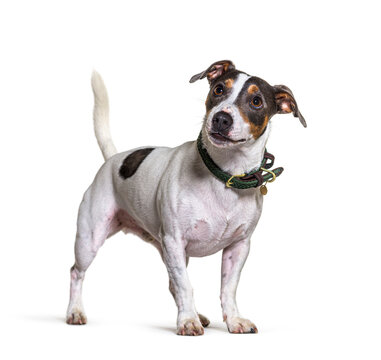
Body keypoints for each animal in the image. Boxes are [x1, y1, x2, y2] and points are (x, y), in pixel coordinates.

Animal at [64, 59, 302, 334]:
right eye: (219, 89)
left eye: (256, 101)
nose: (221, 118)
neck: (223, 176)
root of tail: (114, 159)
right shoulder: (174, 242)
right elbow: (185, 285)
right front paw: (187, 321)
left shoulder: (239, 247)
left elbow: (228, 288)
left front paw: (233, 320)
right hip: (89, 239)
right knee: (76, 272)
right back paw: (74, 311)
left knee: (172, 284)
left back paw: (199, 315)